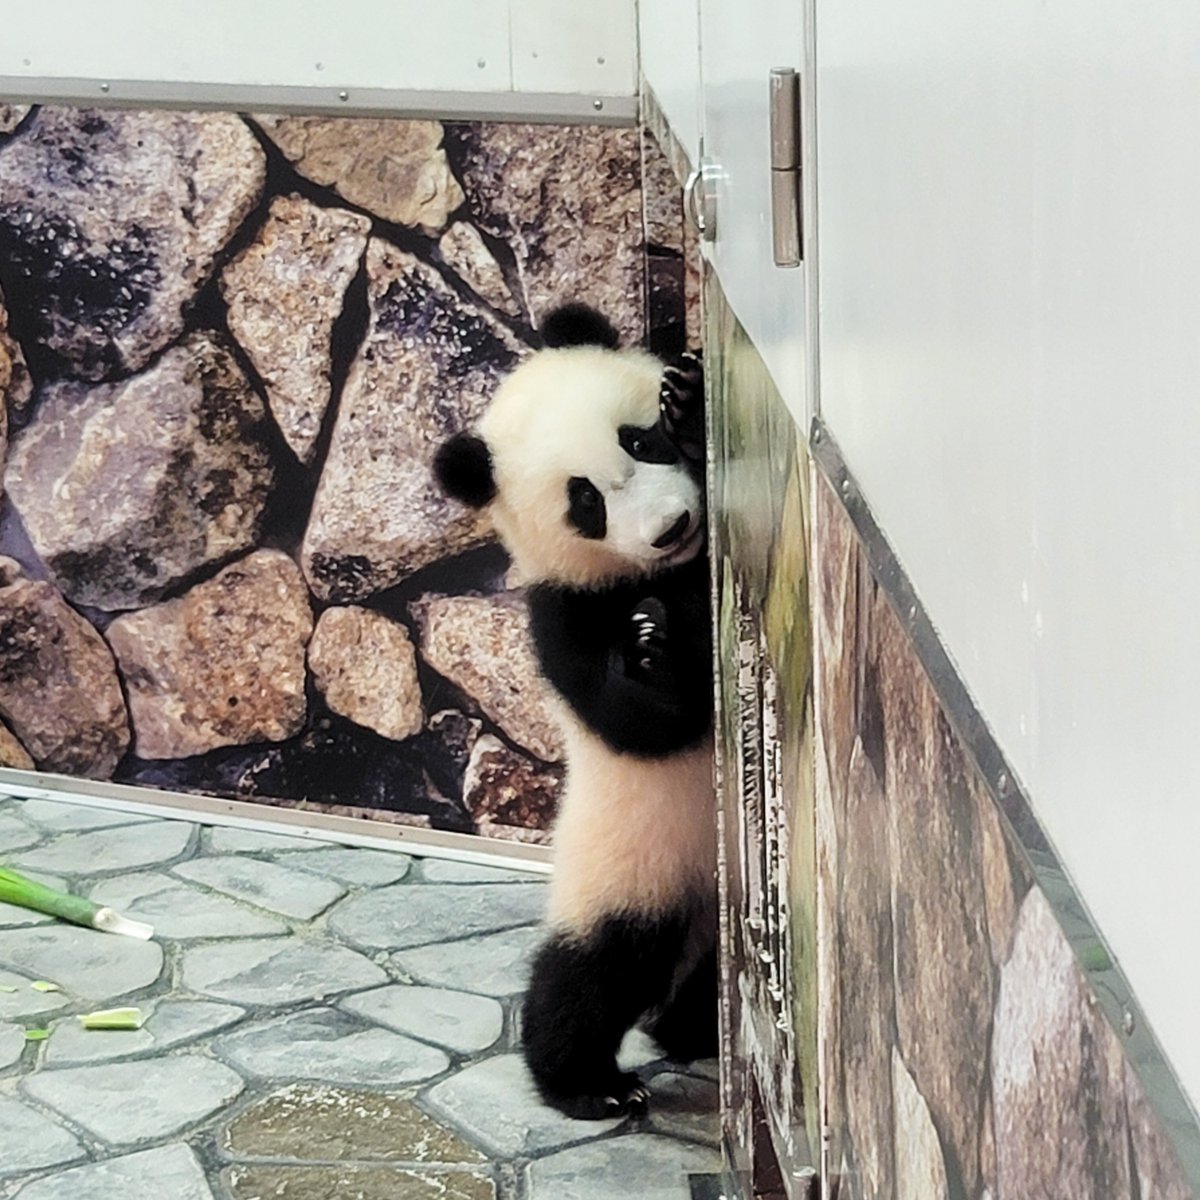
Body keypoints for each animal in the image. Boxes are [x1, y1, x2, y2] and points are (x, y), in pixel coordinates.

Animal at [433, 302, 716, 1119]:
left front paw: (692, 408)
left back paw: (691, 1029)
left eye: (638, 440)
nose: (669, 527)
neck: (677, 571)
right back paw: (590, 1082)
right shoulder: (564, 615)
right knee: (594, 973)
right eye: (585, 502)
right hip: (628, 865)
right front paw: (652, 650)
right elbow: (637, 722)